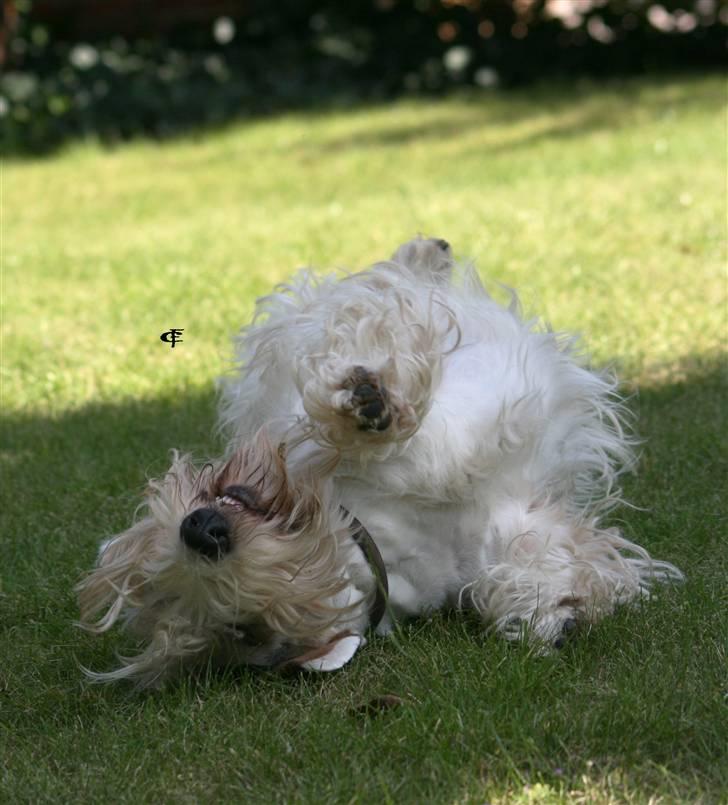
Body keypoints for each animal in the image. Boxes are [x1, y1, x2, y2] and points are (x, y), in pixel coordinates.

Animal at [78, 239, 684, 684]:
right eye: (242, 629)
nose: (200, 530)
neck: (389, 537)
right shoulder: (502, 512)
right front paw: (554, 610)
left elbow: (364, 398)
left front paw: (370, 399)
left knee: (391, 275)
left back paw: (425, 257)